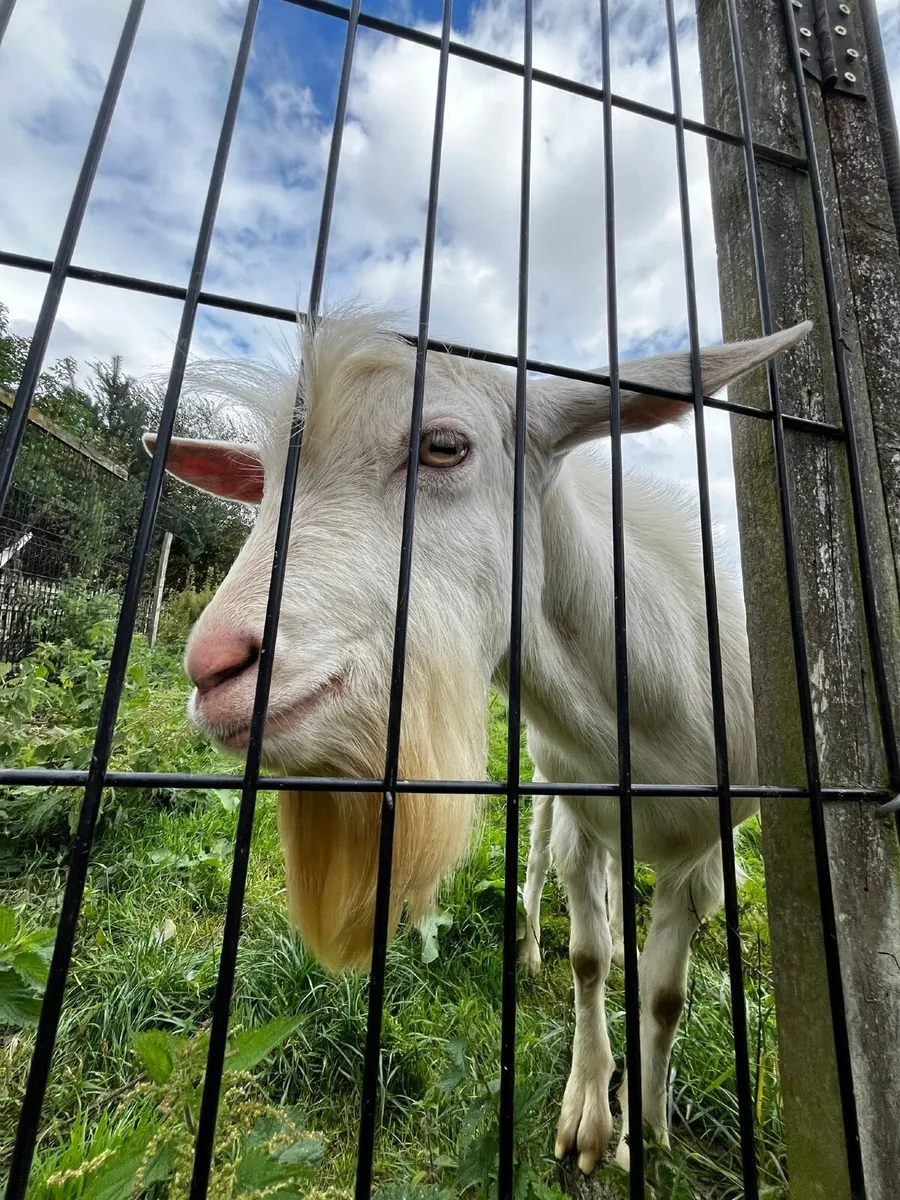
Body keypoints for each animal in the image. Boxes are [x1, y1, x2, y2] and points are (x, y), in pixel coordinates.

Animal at [144, 309, 809, 1172]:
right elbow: (588, 956)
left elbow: (665, 994)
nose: (214, 667)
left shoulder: (708, 854)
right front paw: (591, 1115)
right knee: (542, 863)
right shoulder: (581, 808)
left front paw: (648, 1126)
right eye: (262, 487)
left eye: (444, 446)